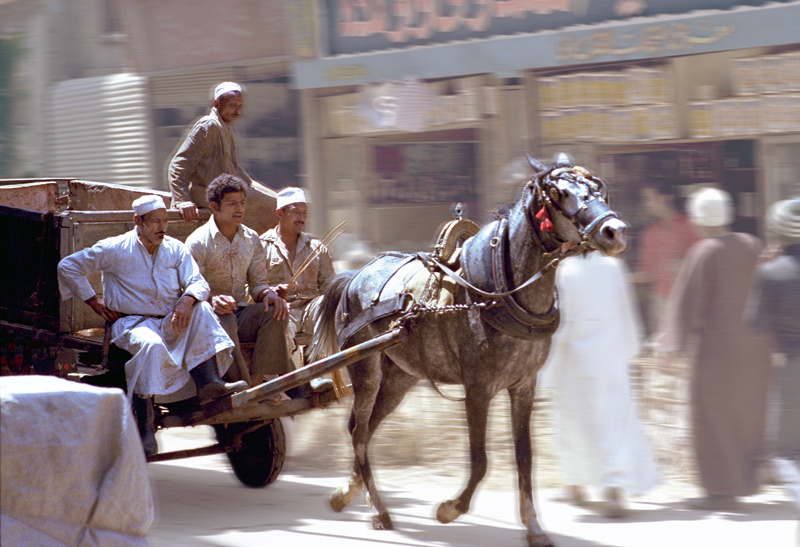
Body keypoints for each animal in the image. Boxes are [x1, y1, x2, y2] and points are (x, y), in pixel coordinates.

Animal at [310, 155, 628, 547]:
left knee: (364, 429)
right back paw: (379, 510)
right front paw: (450, 508)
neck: (498, 291)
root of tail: (353, 276)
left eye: (598, 189)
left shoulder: (524, 385)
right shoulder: (478, 389)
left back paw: (349, 493)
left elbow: (525, 457)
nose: (615, 231)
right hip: (366, 369)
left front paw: (534, 526)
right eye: (560, 193)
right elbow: (480, 461)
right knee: (358, 431)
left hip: (399, 378)